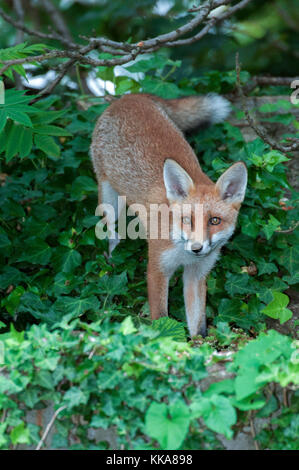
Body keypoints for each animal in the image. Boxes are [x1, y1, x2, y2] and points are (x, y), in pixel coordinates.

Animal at [91, 93, 248, 338]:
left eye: (214, 221)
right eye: (187, 220)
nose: (197, 248)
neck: (182, 251)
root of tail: (131, 97)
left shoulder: (197, 274)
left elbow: (197, 324)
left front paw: (198, 344)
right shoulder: (157, 269)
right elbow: (160, 318)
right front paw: (164, 339)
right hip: (110, 202)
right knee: (112, 233)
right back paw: (113, 261)